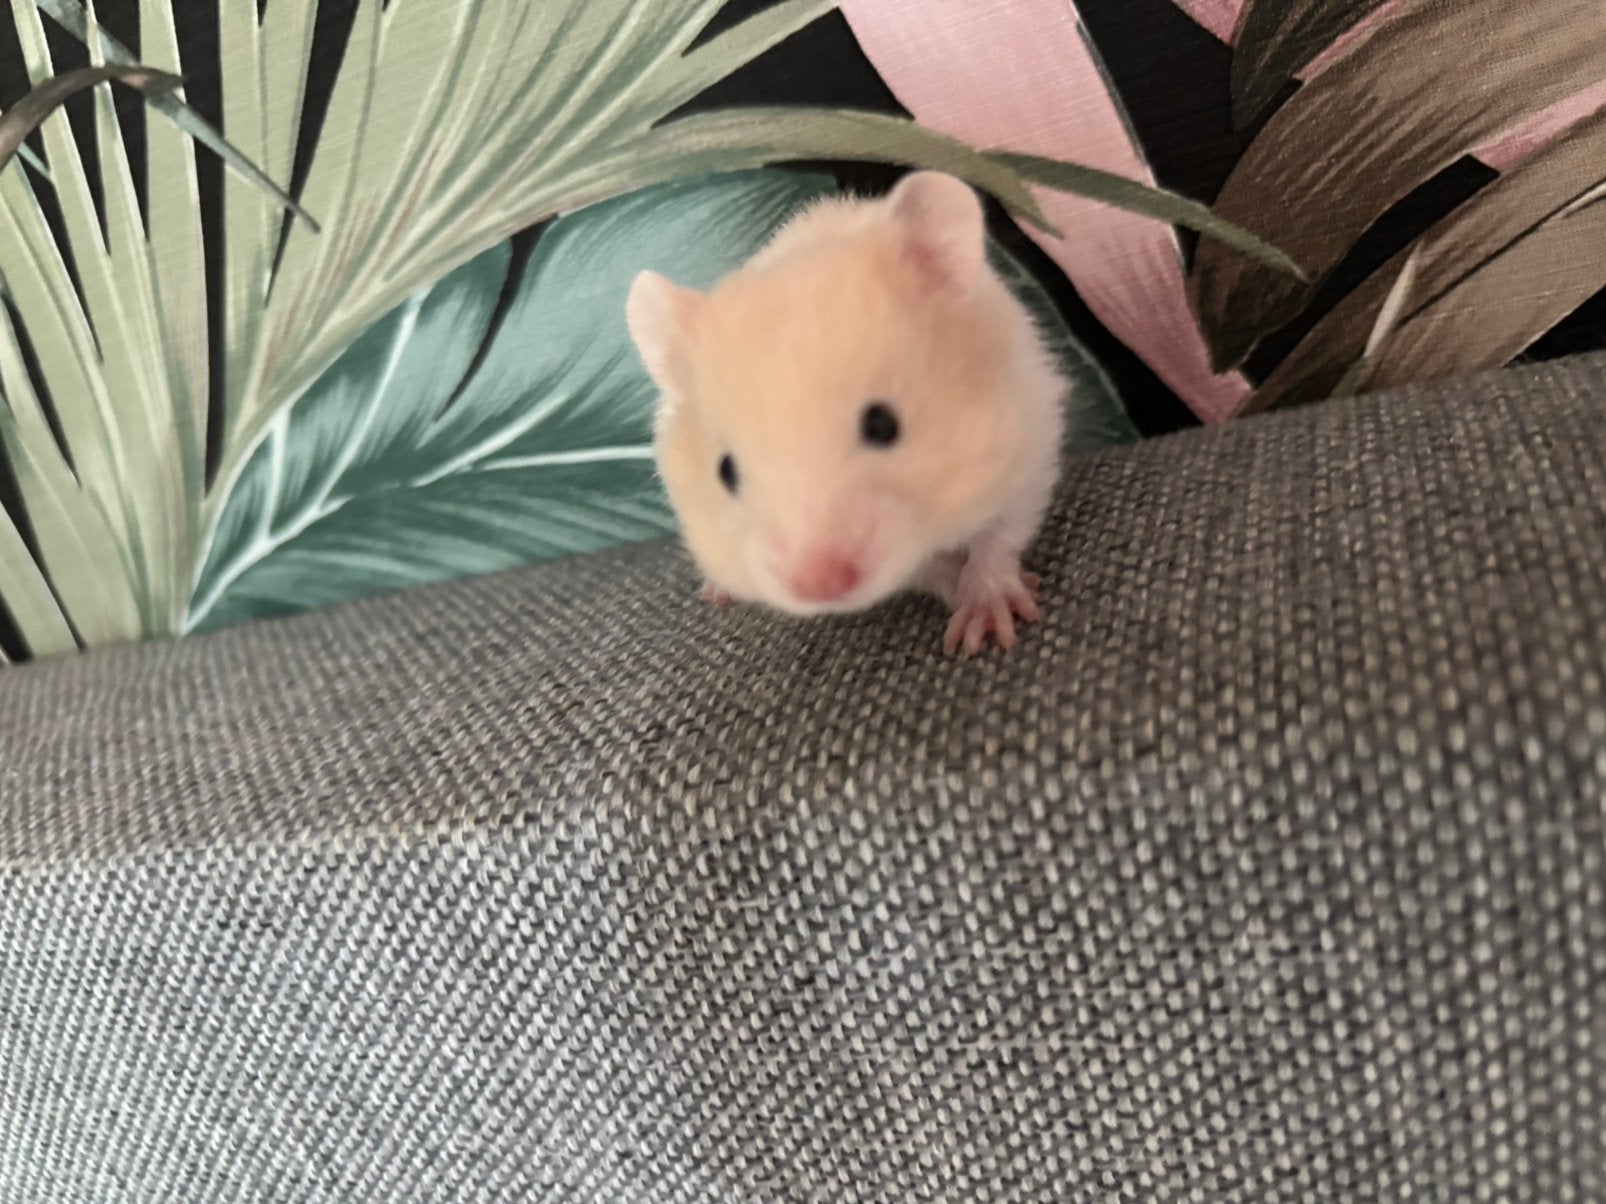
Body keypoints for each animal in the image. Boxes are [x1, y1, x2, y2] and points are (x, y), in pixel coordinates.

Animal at [625, 171, 1067, 656]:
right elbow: (925, 569)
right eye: (725, 471)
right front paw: (957, 591)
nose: (820, 587)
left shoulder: (1031, 444)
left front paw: (985, 629)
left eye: (883, 425)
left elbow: (1001, 536)